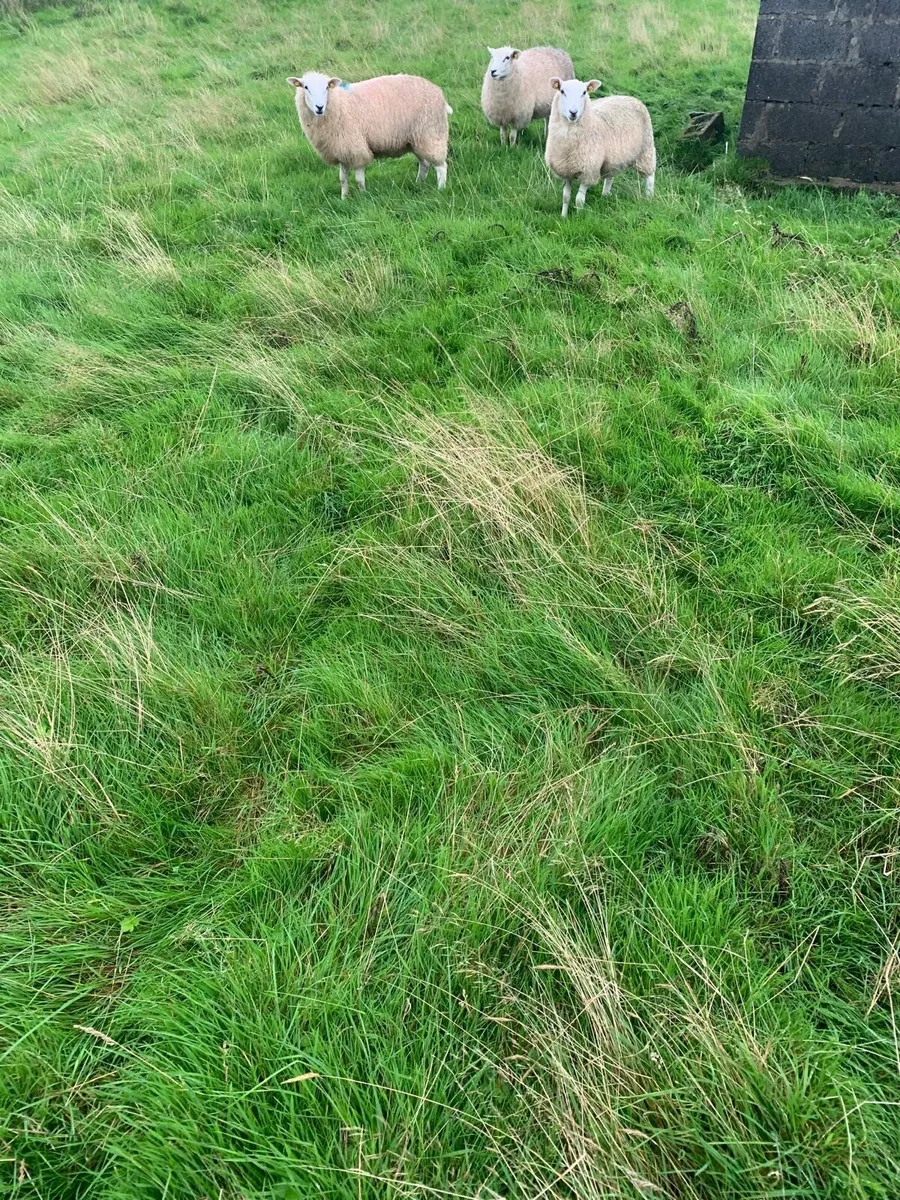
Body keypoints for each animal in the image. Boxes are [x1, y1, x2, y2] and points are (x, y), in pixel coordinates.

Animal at [287, 72, 452, 197]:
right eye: (306, 87)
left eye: (327, 87)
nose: (319, 107)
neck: (338, 104)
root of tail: (438, 92)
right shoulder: (341, 149)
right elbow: (343, 179)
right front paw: (344, 198)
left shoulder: (356, 149)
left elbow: (359, 179)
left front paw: (363, 196)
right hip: (415, 139)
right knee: (424, 164)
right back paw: (419, 183)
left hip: (431, 132)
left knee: (441, 166)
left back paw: (441, 189)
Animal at [545, 78, 656, 217]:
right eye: (562, 91)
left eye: (584, 92)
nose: (573, 112)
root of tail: (629, 97)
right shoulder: (566, 171)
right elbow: (566, 197)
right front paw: (563, 216)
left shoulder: (588, 171)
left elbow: (579, 200)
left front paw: (579, 216)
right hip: (614, 158)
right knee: (610, 177)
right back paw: (605, 195)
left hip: (646, 149)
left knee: (650, 177)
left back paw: (648, 198)